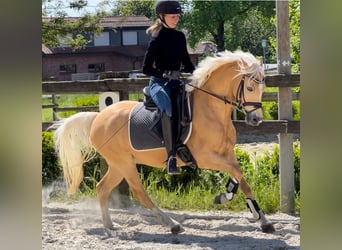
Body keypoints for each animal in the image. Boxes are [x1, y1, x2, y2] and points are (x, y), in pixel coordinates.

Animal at [51, 50, 276, 234]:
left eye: (263, 86)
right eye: (249, 87)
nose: (256, 119)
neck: (211, 111)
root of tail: (98, 118)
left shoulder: (227, 154)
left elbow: (240, 178)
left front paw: (259, 217)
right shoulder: (204, 157)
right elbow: (237, 172)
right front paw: (233, 201)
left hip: (118, 165)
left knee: (102, 188)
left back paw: (110, 225)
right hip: (123, 163)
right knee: (139, 192)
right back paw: (172, 225)